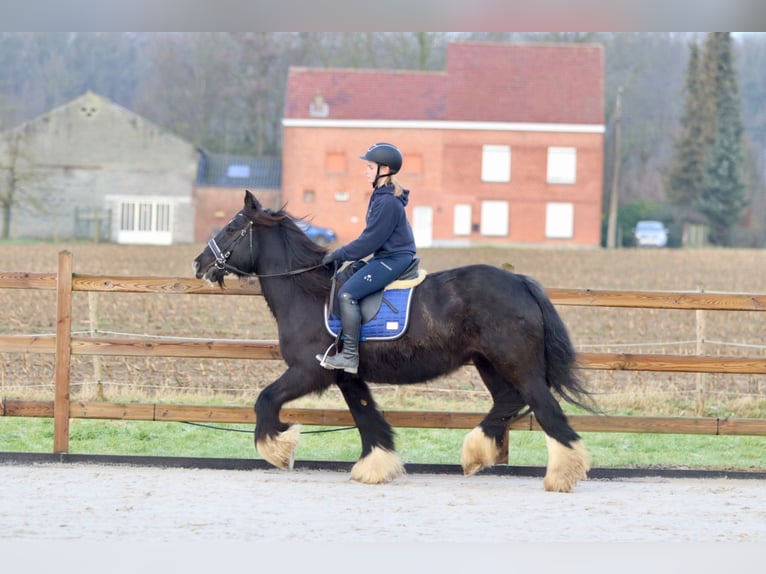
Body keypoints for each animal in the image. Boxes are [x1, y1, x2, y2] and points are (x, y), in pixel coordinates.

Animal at [195, 191, 596, 492]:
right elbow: (367, 417)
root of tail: (521, 282)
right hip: (488, 363)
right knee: (507, 402)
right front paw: (376, 467)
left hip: (518, 363)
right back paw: (475, 453)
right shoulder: (347, 376)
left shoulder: (309, 370)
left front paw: (279, 447)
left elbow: (265, 400)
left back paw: (562, 475)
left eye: (232, 227)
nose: (199, 264)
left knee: (545, 408)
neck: (308, 293)